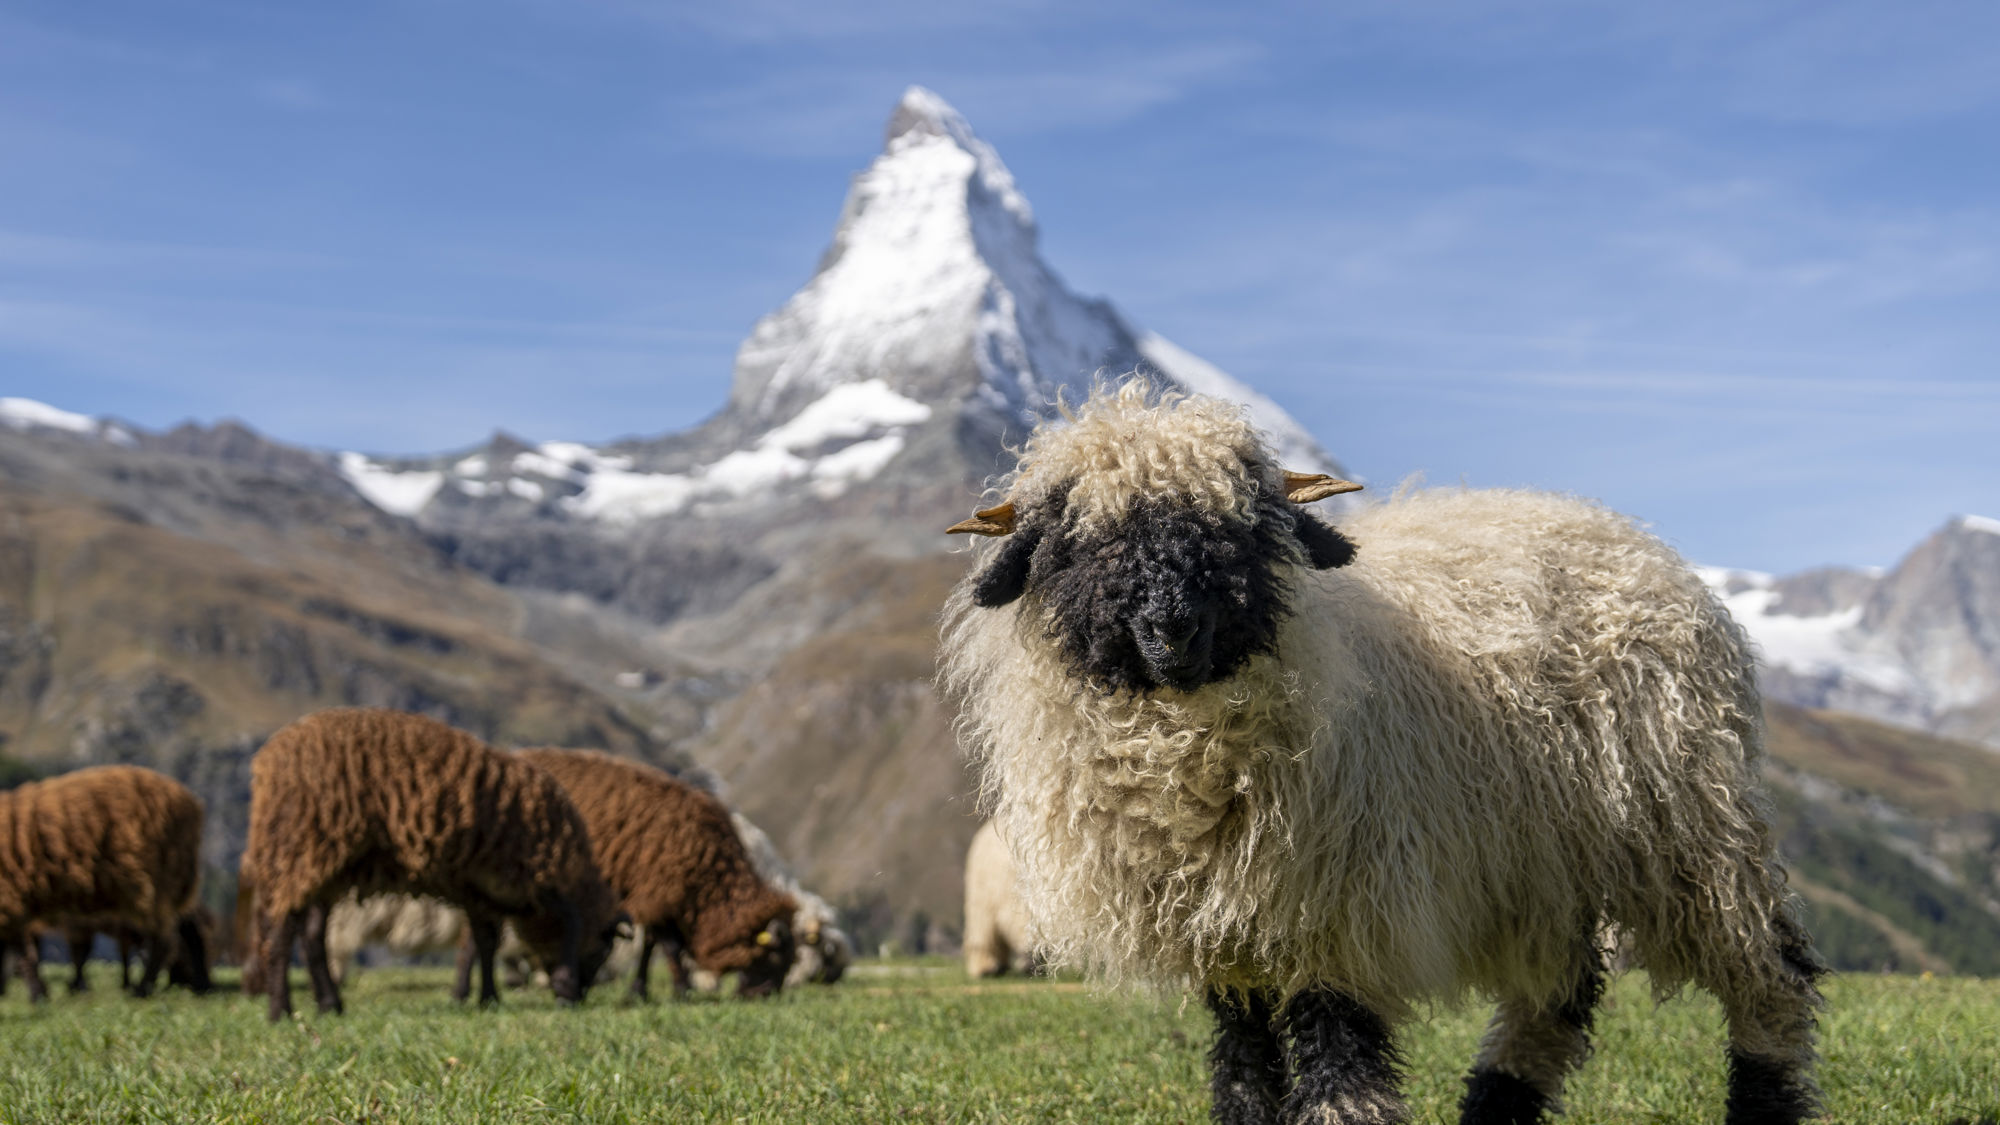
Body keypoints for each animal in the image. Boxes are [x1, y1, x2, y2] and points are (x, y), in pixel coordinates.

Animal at [0, 765, 209, 1002]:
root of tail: (192, 804)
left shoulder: (12, 901)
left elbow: (27, 953)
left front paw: (42, 993)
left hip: (159, 883)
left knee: (166, 940)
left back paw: (145, 988)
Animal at [242, 708, 624, 1020]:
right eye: (605, 948)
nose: (581, 996)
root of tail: (266, 765)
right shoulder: (527, 879)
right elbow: (556, 927)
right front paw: (558, 989)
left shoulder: (480, 887)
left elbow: (483, 942)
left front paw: (488, 999)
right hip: (302, 846)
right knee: (280, 931)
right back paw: (280, 1011)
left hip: (324, 864)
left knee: (311, 935)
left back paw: (329, 1005)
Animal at [517, 749, 797, 1000]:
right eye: (776, 956)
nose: (764, 996)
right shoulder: (657, 890)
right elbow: (669, 946)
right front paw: (680, 990)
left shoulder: (660, 896)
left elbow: (651, 944)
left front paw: (641, 990)